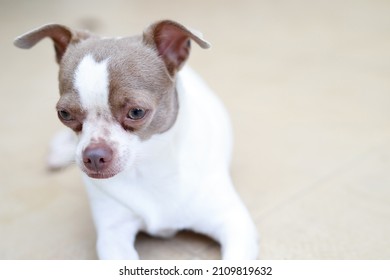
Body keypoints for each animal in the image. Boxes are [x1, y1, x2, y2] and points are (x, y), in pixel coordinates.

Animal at [15, 20, 258, 260]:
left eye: (137, 112)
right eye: (64, 114)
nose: (93, 155)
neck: (148, 167)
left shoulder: (234, 223)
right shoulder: (113, 236)